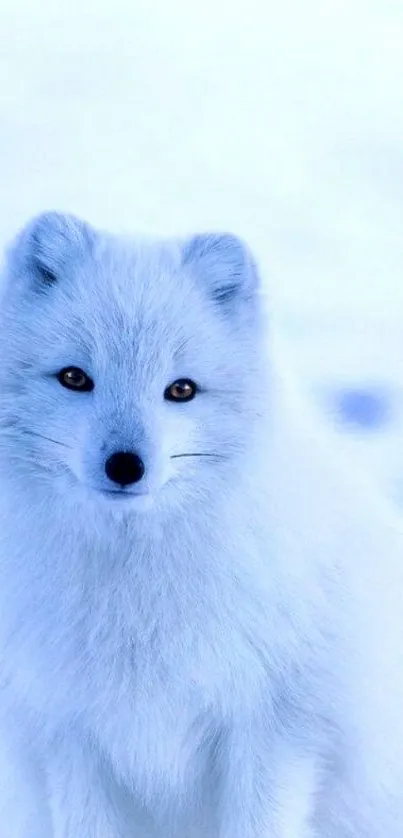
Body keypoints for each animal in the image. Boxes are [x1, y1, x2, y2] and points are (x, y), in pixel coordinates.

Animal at [0, 212, 403, 838]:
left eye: (181, 389)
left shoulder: (277, 728)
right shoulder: (67, 734)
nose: (126, 465)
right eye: (74, 377)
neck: (135, 592)